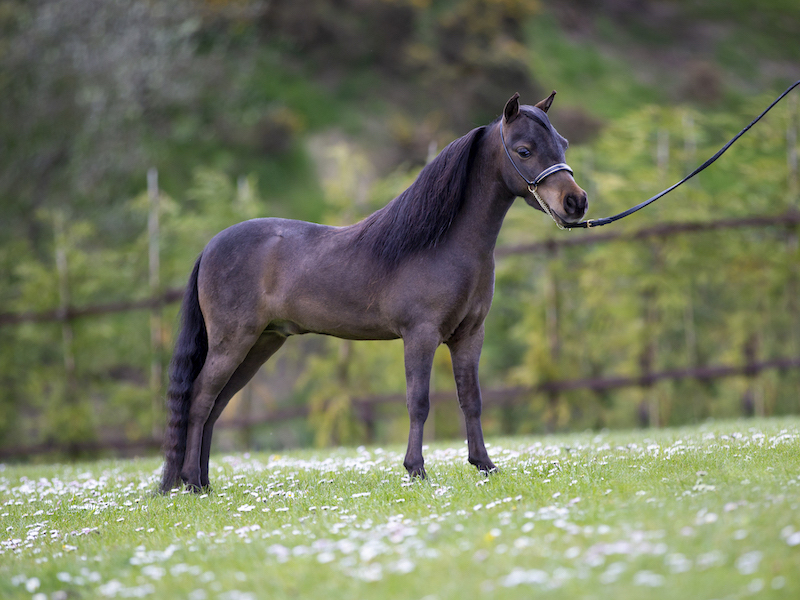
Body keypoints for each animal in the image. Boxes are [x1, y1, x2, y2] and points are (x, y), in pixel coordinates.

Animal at [159, 92, 588, 493]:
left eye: (563, 143)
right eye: (524, 150)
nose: (576, 202)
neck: (444, 243)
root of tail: (210, 248)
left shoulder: (469, 335)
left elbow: (471, 398)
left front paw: (484, 465)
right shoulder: (420, 335)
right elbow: (418, 402)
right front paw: (416, 470)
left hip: (260, 344)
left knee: (216, 405)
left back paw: (201, 483)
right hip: (233, 342)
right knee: (200, 400)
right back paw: (191, 482)